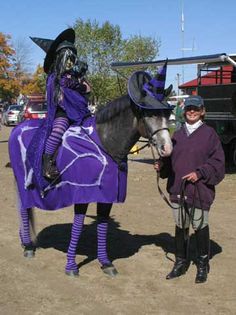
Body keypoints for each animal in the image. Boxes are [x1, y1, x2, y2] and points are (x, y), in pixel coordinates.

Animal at [8, 92, 173, 278]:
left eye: (167, 115)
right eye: (149, 114)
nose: (167, 148)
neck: (104, 143)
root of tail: (18, 128)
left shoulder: (107, 196)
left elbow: (102, 225)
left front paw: (106, 262)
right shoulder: (82, 194)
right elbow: (78, 225)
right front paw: (71, 265)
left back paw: (25, 241)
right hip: (22, 182)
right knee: (24, 208)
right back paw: (28, 246)